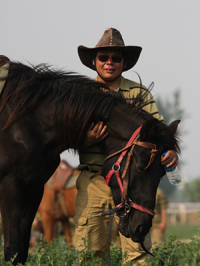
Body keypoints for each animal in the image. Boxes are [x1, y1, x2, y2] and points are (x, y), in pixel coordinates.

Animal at [0, 56, 180, 264]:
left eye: (162, 173)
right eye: (142, 166)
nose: (141, 227)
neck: (28, 121)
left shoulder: (34, 189)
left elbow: (21, 251)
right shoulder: (10, 186)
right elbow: (12, 249)